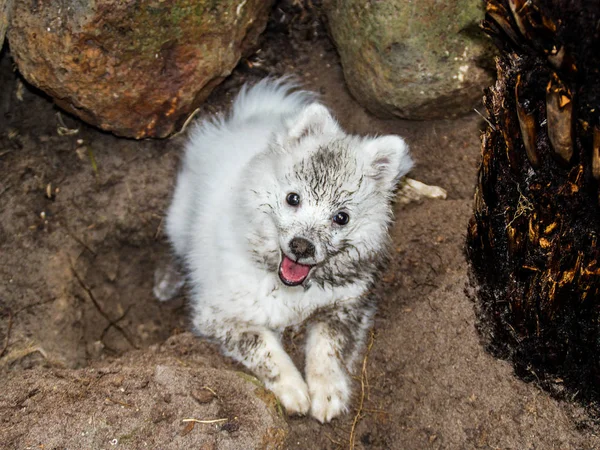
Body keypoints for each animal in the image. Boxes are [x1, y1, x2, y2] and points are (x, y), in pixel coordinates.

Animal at [158, 78, 412, 422]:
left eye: (341, 217)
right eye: (293, 198)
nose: (301, 246)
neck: (289, 287)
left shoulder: (346, 305)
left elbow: (328, 346)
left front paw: (327, 392)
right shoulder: (219, 316)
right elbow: (263, 348)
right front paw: (293, 390)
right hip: (178, 220)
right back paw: (167, 282)